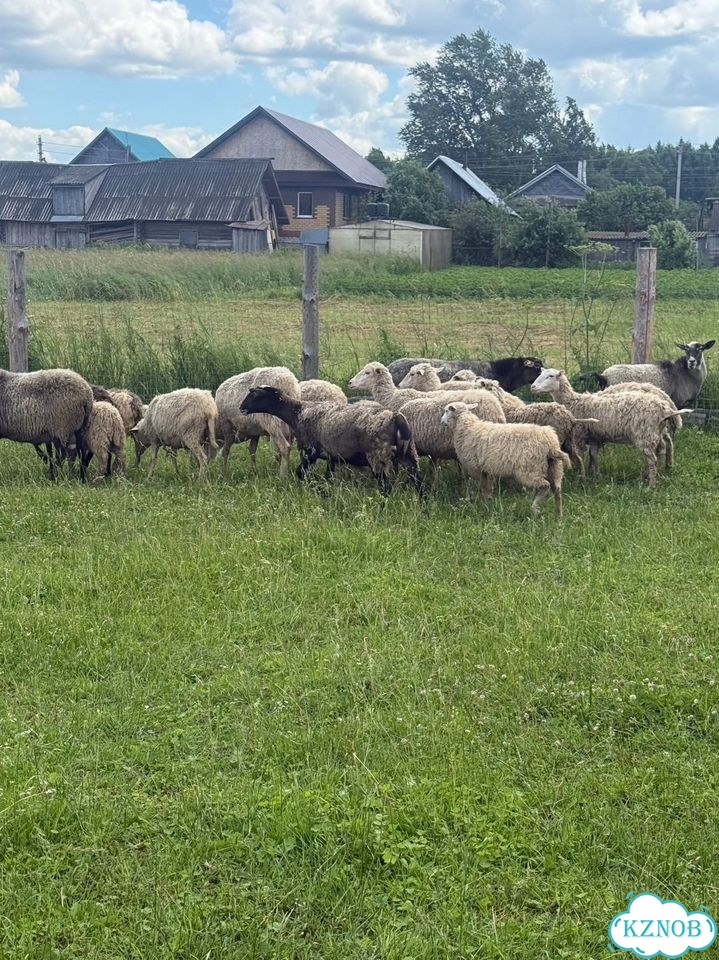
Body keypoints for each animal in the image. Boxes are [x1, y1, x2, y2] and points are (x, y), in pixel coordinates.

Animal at [239, 385, 423, 495]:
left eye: (256, 395)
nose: (241, 408)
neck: (297, 413)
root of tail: (396, 418)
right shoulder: (332, 456)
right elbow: (328, 475)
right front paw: (326, 491)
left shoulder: (310, 451)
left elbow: (300, 472)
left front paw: (316, 489)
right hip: (410, 455)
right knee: (420, 484)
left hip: (377, 456)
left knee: (386, 488)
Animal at [441, 401, 571, 517]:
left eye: (447, 411)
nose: (442, 421)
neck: (467, 426)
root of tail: (551, 445)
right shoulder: (487, 470)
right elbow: (488, 490)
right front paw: (489, 505)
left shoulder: (477, 469)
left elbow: (483, 489)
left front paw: (484, 507)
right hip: (554, 468)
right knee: (557, 491)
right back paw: (559, 516)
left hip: (530, 470)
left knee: (545, 486)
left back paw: (535, 508)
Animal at [531, 368, 688, 486]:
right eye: (539, 374)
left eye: (550, 376)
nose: (533, 387)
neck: (575, 402)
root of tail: (664, 403)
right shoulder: (594, 436)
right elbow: (594, 455)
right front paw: (596, 475)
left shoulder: (579, 435)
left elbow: (580, 456)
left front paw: (581, 476)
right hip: (655, 432)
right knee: (661, 448)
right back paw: (657, 471)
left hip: (645, 434)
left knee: (653, 457)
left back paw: (651, 484)